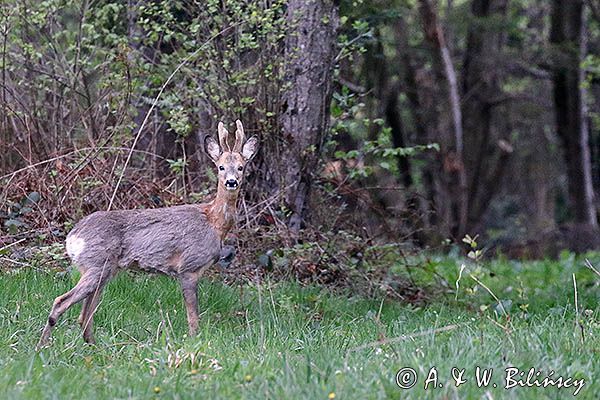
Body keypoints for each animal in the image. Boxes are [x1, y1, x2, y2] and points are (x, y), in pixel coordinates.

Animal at [37, 119, 258, 346]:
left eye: (241, 167)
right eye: (221, 167)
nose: (231, 181)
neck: (213, 222)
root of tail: (72, 237)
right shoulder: (189, 267)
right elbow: (193, 317)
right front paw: (194, 342)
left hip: (103, 270)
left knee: (84, 314)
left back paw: (94, 345)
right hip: (96, 265)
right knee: (61, 302)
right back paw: (42, 346)